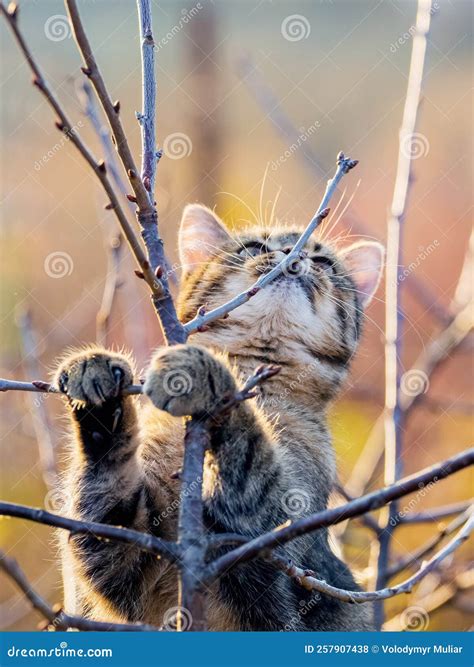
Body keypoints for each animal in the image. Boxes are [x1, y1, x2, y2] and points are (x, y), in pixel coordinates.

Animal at [55, 204, 384, 632]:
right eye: (255, 247)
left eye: (323, 261)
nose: (291, 255)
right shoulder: (121, 560)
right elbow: (103, 491)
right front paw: (95, 375)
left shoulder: (275, 538)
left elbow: (249, 444)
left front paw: (205, 372)